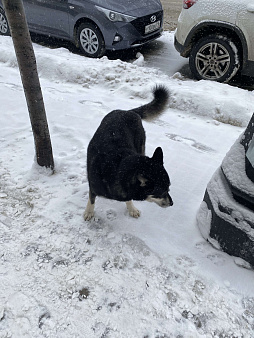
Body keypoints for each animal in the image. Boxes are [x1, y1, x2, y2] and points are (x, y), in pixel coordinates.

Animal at [84, 86, 174, 220]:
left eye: (168, 188)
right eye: (161, 192)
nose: (172, 203)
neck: (116, 168)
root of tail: (128, 111)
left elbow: (128, 198)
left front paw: (131, 208)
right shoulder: (93, 185)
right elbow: (91, 199)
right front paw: (89, 212)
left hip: (141, 145)